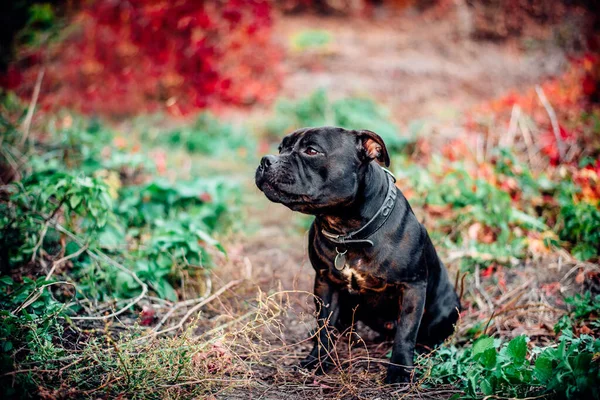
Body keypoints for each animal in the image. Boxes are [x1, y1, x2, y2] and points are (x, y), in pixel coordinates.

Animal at [254, 126, 460, 382]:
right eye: (281, 148)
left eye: (311, 150)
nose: (265, 160)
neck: (348, 232)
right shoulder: (325, 283)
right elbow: (325, 327)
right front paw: (318, 360)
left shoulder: (412, 286)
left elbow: (406, 332)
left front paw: (399, 370)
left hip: (446, 309)